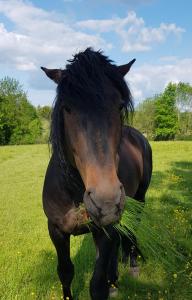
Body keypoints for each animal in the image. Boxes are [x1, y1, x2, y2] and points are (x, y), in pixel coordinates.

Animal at [41, 48, 152, 298]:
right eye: (67, 107)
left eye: (119, 106)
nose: (106, 202)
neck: (73, 191)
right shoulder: (56, 231)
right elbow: (65, 272)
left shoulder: (104, 231)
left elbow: (97, 284)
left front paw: (108, 283)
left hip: (138, 199)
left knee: (131, 231)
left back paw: (131, 265)